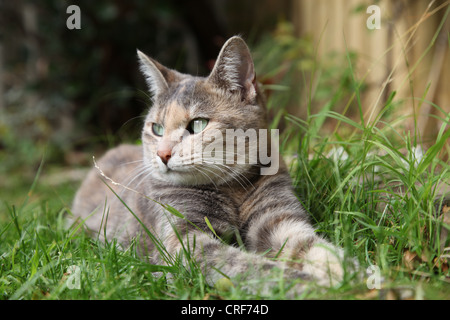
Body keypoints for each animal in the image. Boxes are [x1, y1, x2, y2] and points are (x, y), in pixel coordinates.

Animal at [72, 36, 350, 296]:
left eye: (198, 124)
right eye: (157, 128)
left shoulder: (277, 217)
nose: (162, 154)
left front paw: (346, 273)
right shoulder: (185, 241)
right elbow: (246, 266)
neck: (232, 190)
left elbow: (310, 245)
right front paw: (307, 285)